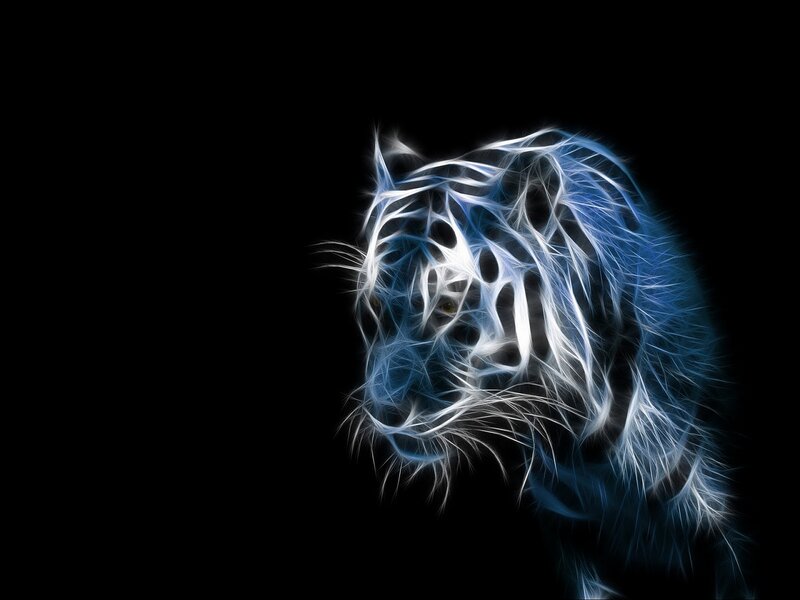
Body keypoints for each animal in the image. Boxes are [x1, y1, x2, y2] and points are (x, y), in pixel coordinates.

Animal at [333, 129, 752, 598]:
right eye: (373, 304)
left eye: (447, 305)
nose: (384, 412)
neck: (580, 445)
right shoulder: (570, 535)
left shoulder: (734, 539)